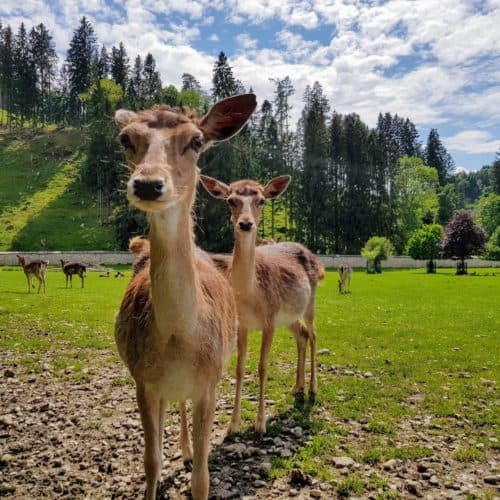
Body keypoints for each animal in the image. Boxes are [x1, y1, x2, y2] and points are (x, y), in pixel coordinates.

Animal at [112, 94, 256, 500]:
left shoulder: (209, 383)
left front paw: (196, 463)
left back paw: (189, 452)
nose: (148, 184)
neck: (178, 339)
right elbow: (152, 462)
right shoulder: (143, 382)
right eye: (126, 139)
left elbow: (203, 479)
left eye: (196, 141)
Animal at [199, 175, 324, 434]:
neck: (251, 296)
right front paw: (232, 425)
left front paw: (260, 423)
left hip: (310, 302)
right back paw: (297, 386)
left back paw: (313, 387)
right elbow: (239, 367)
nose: (246, 224)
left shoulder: (269, 321)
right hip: (288, 316)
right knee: (302, 335)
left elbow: (262, 367)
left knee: (314, 334)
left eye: (262, 200)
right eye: (230, 200)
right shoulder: (243, 324)